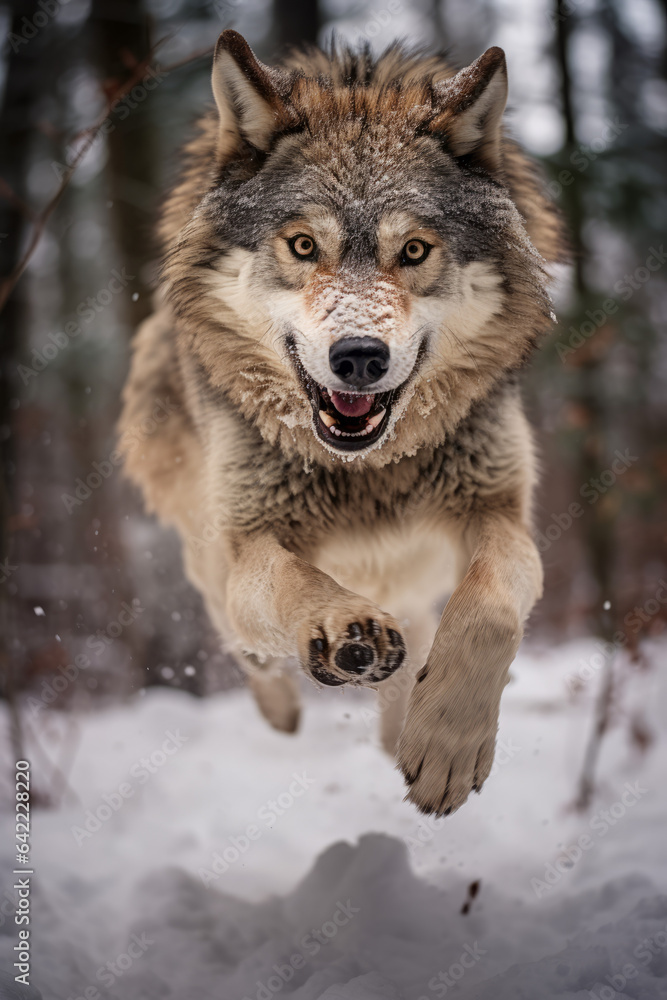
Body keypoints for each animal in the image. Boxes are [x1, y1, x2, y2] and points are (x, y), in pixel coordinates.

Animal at [120, 30, 566, 816]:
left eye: (413, 250)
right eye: (303, 246)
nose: (358, 355)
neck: (365, 468)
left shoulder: (498, 512)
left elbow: (487, 612)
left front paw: (445, 749)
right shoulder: (250, 540)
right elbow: (290, 582)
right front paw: (342, 629)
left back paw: (397, 732)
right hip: (205, 541)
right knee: (239, 635)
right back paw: (284, 707)